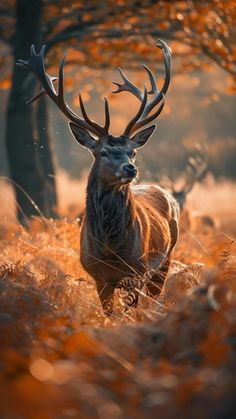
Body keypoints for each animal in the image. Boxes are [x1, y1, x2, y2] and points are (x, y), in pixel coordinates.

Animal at [17, 40, 180, 316]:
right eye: (103, 152)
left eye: (133, 152)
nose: (130, 169)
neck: (110, 250)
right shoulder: (98, 276)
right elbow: (109, 314)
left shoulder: (136, 271)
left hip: (165, 258)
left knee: (155, 297)